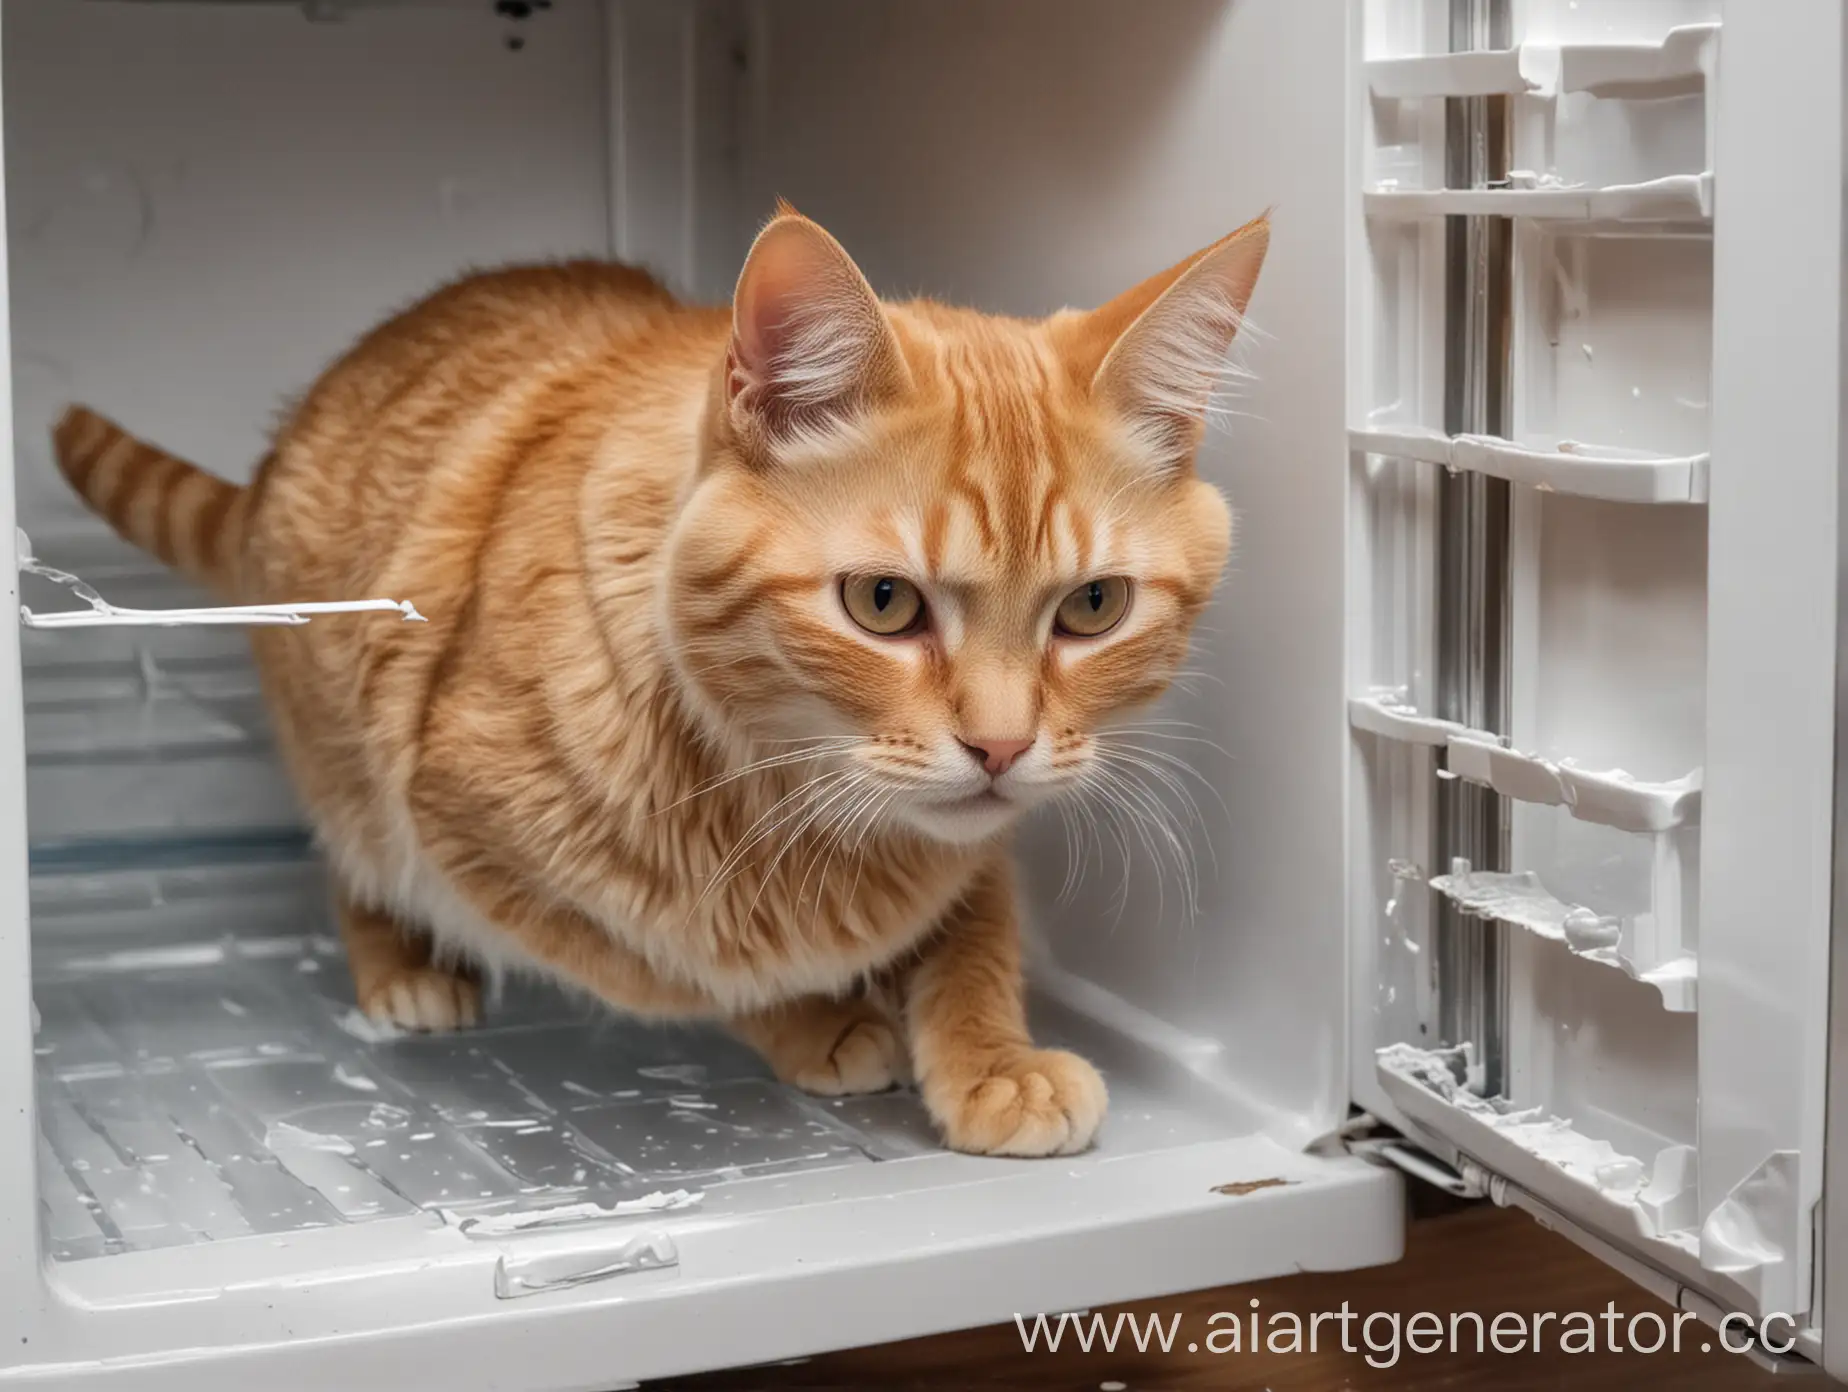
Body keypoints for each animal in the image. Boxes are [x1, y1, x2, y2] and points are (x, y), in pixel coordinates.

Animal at [54, 206, 1271, 1153]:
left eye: (1094, 607)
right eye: (883, 603)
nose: (1003, 746)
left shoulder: (977, 844)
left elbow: (979, 932)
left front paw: (994, 1058)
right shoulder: (477, 843)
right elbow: (694, 968)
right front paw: (817, 1016)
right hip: (348, 765)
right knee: (353, 858)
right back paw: (399, 964)